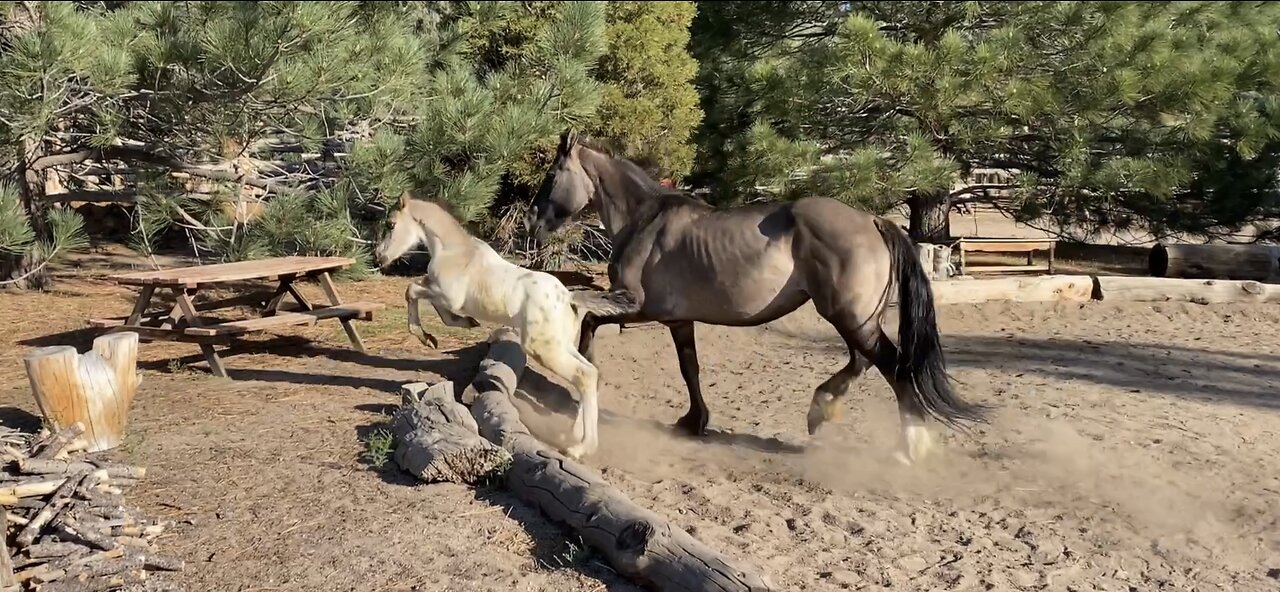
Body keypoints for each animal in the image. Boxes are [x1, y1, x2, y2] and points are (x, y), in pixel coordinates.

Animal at [371, 192, 634, 461]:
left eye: (391, 224)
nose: (379, 257)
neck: (455, 252)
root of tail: (568, 298)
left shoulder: (448, 296)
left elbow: (412, 291)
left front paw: (435, 333)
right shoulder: (437, 291)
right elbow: (421, 294)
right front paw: (451, 329)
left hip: (543, 349)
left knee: (585, 375)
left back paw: (580, 448)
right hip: (562, 345)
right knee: (592, 373)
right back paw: (573, 434)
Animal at [524, 131, 983, 463]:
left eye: (552, 175)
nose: (532, 222)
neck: (645, 220)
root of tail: (873, 220)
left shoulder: (635, 305)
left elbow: (586, 319)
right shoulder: (677, 319)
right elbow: (689, 368)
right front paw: (694, 421)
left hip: (850, 318)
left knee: (892, 366)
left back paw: (911, 446)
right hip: (857, 320)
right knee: (863, 363)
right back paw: (821, 411)